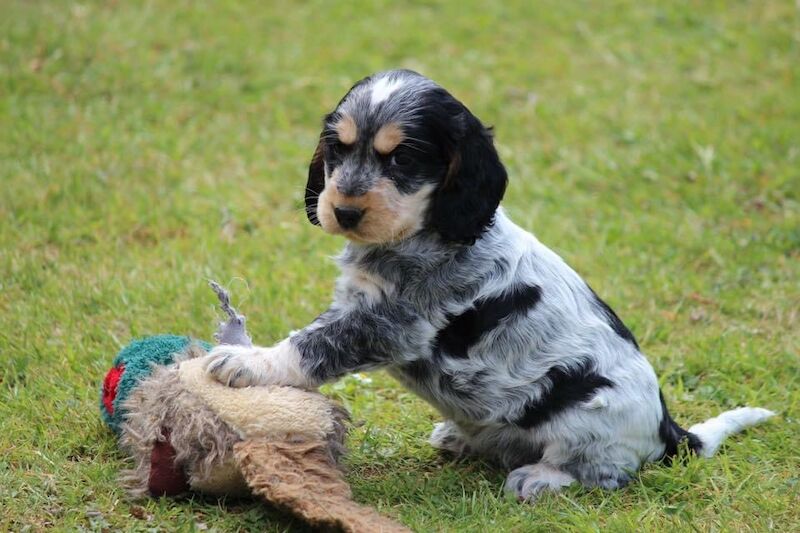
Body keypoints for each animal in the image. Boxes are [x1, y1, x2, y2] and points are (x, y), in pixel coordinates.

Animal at [208, 69, 776, 498]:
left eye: (403, 158)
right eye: (337, 149)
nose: (343, 212)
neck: (422, 233)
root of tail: (668, 430)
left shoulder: (390, 324)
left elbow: (310, 347)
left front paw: (246, 362)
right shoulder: (358, 303)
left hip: (588, 421)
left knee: (605, 472)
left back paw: (540, 478)